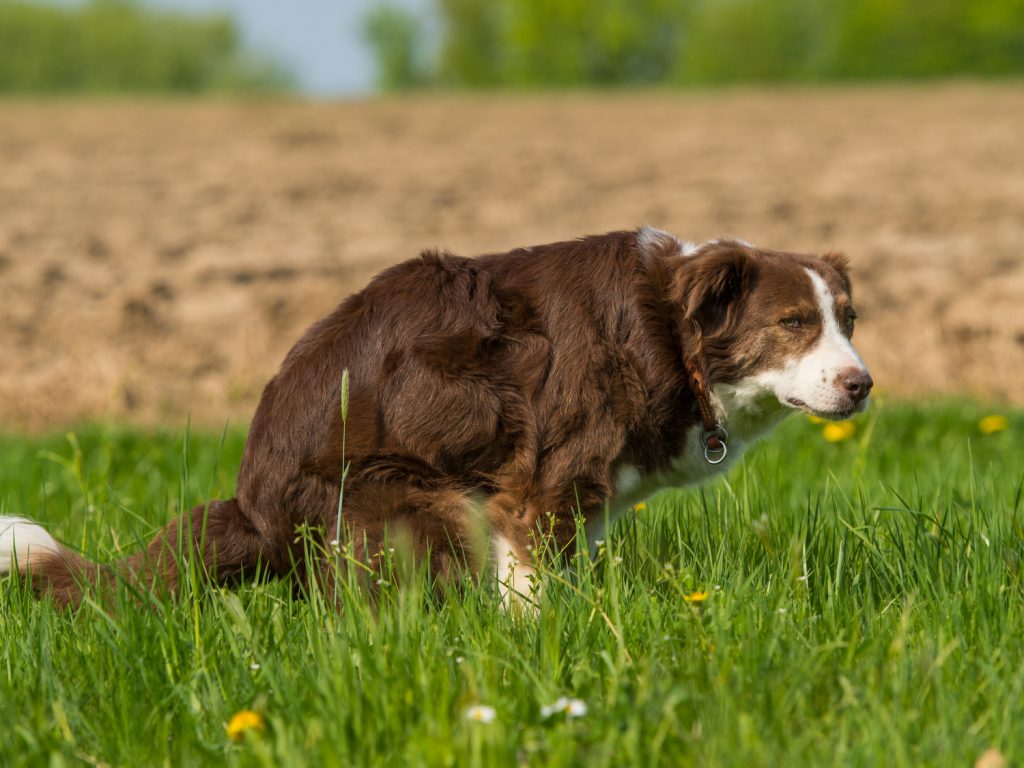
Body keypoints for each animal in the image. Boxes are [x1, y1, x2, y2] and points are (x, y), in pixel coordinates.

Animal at [0, 225, 872, 610]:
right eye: (794, 323)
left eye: (849, 319)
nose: (862, 385)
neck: (669, 332)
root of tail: (253, 509)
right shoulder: (539, 482)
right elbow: (530, 592)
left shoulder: (585, 501)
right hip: (416, 497)